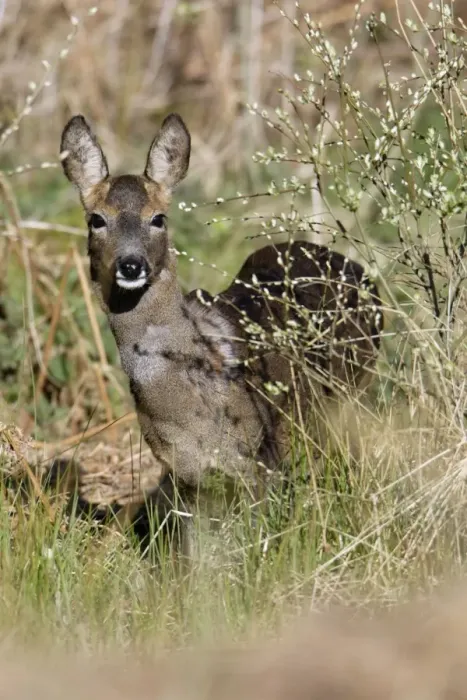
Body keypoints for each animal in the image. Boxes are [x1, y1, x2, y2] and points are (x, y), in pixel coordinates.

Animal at [60, 113, 384, 557]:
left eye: (158, 217)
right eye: (96, 219)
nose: (131, 265)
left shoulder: (260, 460)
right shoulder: (185, 473)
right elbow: (198, 556)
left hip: (352, 394)